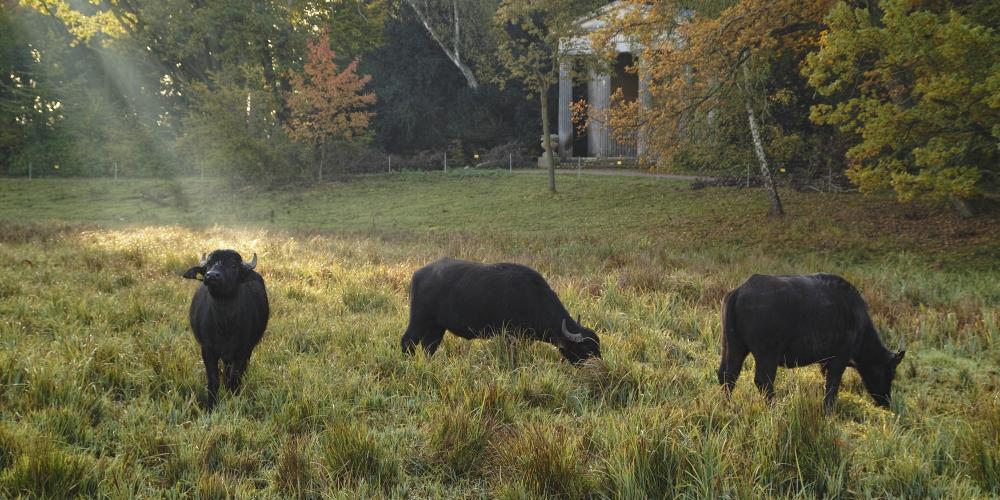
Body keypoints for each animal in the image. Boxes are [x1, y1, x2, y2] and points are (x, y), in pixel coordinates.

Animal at [183, 250, 270, 410]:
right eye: (209, 265)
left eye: (233, 266)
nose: (211, 276)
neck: (225, 325)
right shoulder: (207, 350)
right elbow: (213, 379)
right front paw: (211, 406)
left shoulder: (242, 350)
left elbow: (235, 378)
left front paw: (234, 399)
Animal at [398, 258, 600, 364]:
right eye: (587, 348)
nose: (599, 368)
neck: (532, 298)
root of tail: (418, 274)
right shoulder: (510, 335)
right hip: (418, 321)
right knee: (407, 341)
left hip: (437, 327)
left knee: (429, 347)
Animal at [720, 274, 908, 410]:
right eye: (891, 372)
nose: (886, 403)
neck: (858, 319)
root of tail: (738, 292)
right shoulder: (839, 358)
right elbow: (832, 386)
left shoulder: (825, 362)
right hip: (766, 355)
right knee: (763, 381)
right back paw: (775, 408)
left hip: (733, 346)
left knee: (727, 375)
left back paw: (728, 406)